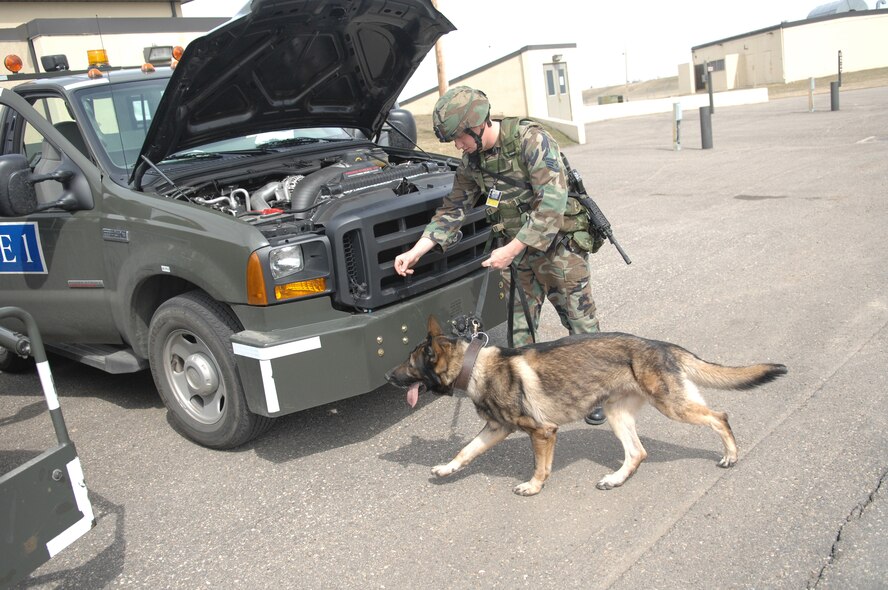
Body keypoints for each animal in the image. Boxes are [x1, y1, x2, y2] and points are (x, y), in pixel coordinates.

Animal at [386, 316, 788, 498]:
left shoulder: (542, 432)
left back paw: (730, 455)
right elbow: (465, 451)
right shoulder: (495, 430)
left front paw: (534, 486)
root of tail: (659, 345)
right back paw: (615, 478)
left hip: (673, 405)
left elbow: (540, 467)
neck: (476, 365)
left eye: (408, 363)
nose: (389, 376)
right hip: (616, 414)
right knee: (637, 453)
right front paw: (446, 468)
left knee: (719, 416)